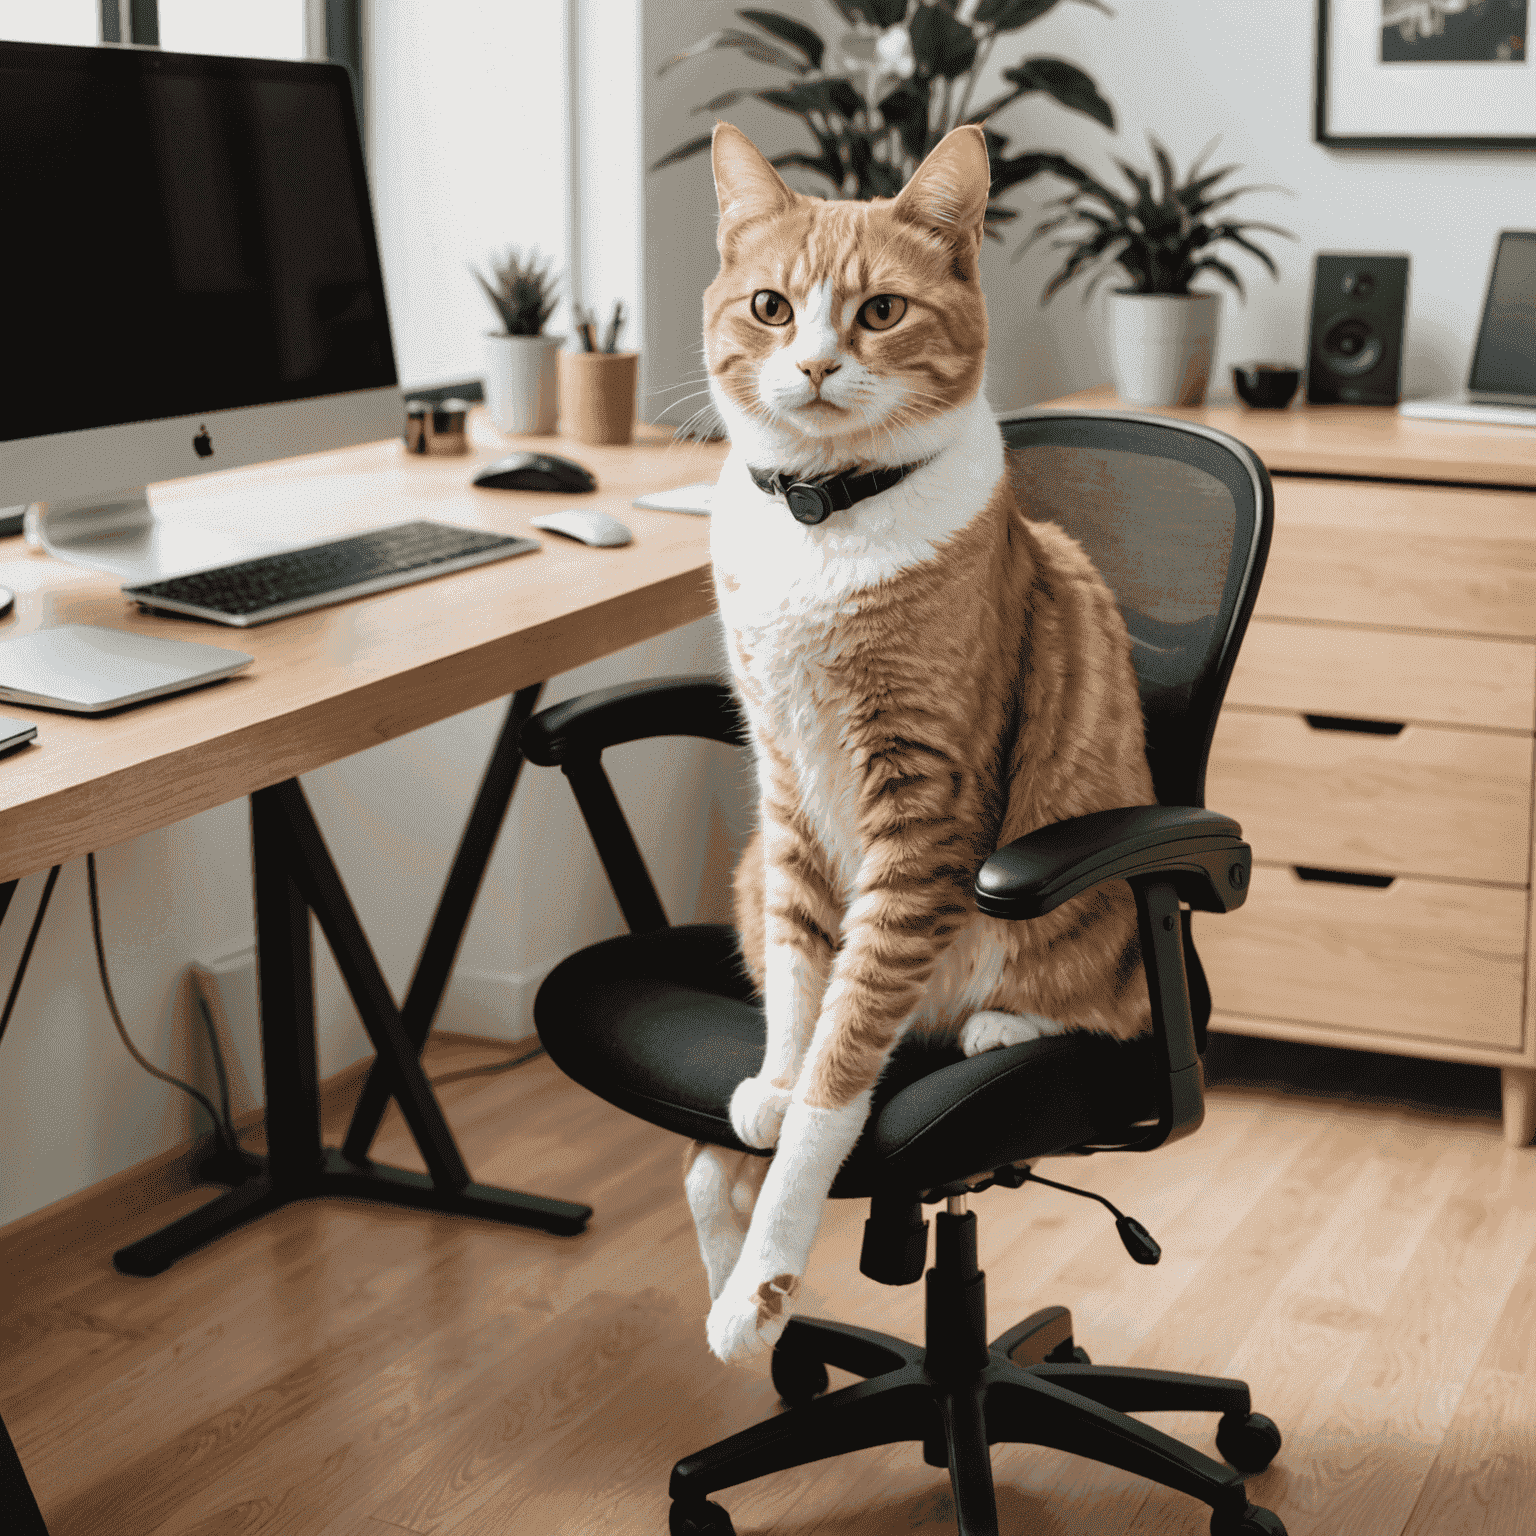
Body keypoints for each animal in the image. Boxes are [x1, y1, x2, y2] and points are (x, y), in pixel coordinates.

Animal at [688, 122, 1155, 1370]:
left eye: (882, 311)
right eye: (770, 307)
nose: (811, 366)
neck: (823, 519)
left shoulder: (923, 812)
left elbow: (837, 1077)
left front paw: (767, 1284)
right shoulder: (787, 791)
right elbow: (801, 979)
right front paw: (769, 1084)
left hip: (1082, 937)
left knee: (1109, 1005)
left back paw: (998, 1022)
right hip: (746, 867)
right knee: (706, 1161)